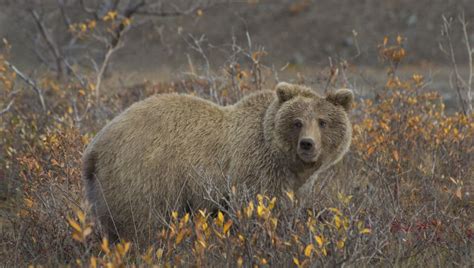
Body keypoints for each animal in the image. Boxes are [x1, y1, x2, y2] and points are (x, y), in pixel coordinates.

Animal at [82, 81, 352, 243]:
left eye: (323, 121)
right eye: (297, 122)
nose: (307, 144)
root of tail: (93, 149)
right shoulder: (255, 169)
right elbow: (257, 208)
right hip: (141, 177)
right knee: (141, 227)